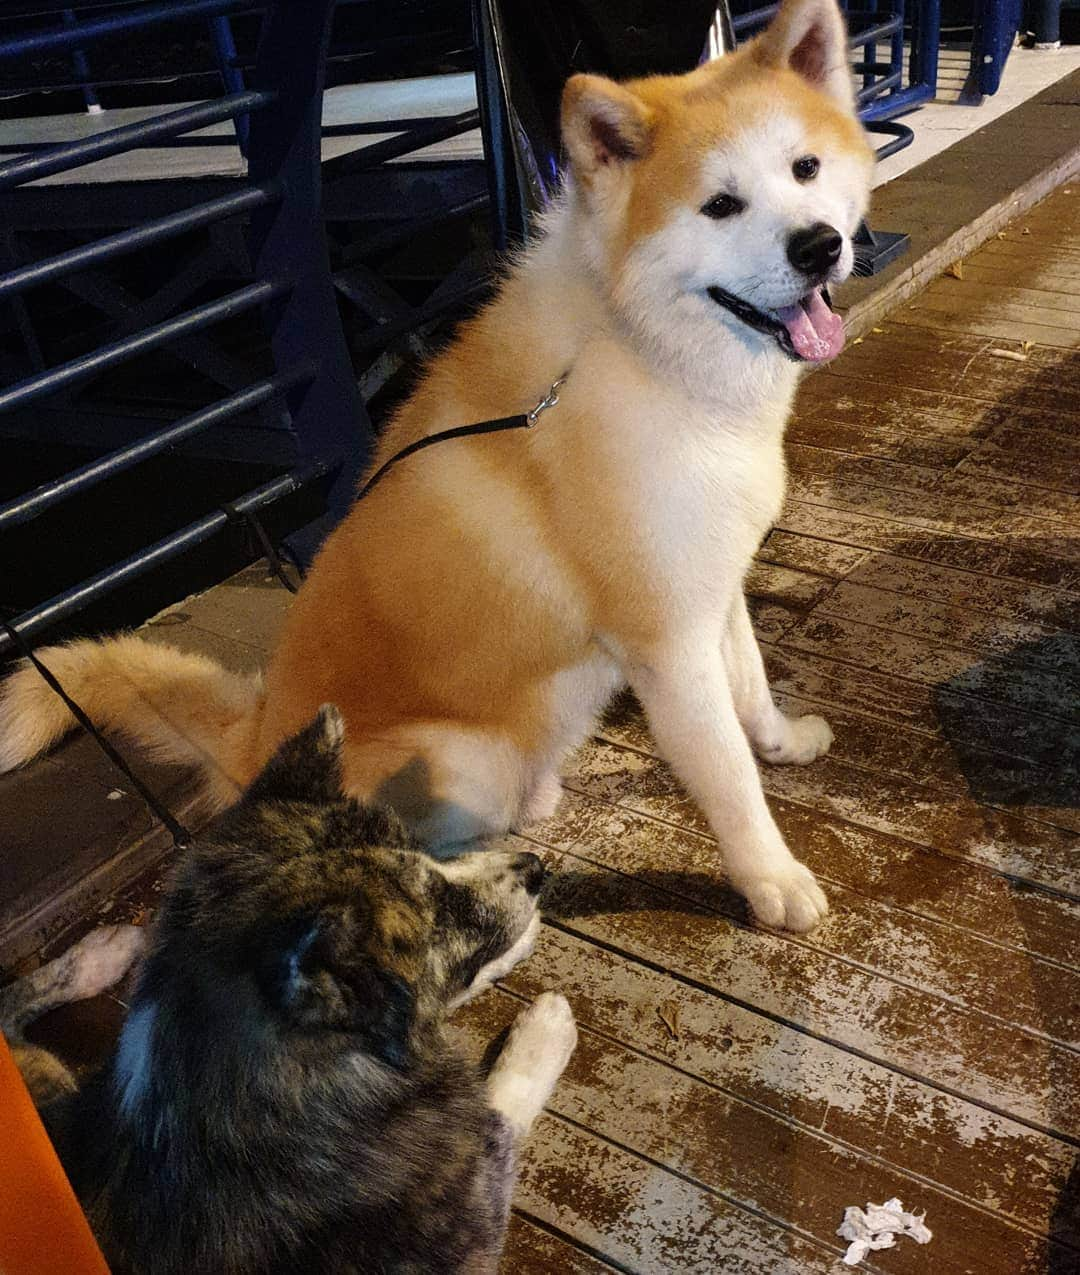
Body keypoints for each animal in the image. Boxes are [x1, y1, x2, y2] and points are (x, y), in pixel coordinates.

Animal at [0, 0, 872, 933]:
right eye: (719, 205)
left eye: (805, 168)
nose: (818, 247)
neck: (639, 349)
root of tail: (257, 736)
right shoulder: (667, 647)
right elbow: (729, 779)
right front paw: (771, 878)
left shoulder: (714, 588)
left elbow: (753, 696)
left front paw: (784, 743)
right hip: (457, 757)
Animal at [0, 708, 578, 1275]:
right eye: (436, 907)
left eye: (421, 850)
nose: (535, 867)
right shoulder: (469, 1215)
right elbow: (502, 1106)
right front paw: (544, 1028)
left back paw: (104, 953)